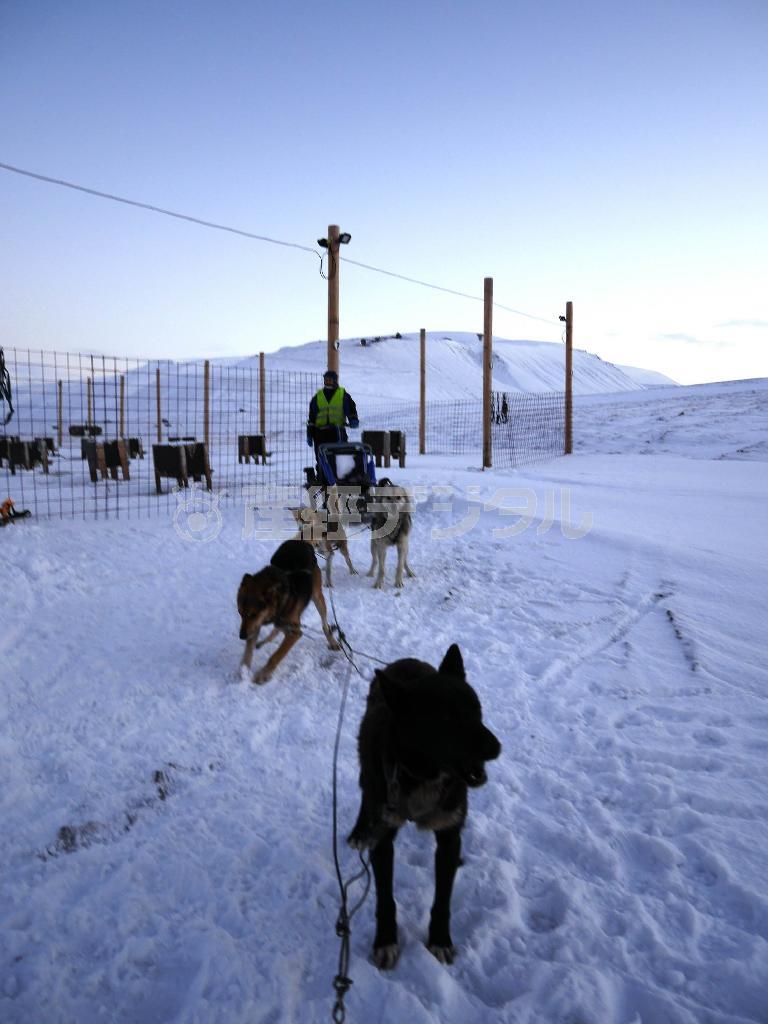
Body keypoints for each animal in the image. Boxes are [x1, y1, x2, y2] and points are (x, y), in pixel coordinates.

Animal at [237, 540, 339, 684]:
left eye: (253, 614)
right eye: (240, 613)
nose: (242, 636)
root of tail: (303, 542)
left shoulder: (294, 633)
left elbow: (276, 656)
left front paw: (263, 674)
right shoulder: (255, 625)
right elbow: (248, 651)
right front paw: (243, 670)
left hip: (317, 597)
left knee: (325, 624)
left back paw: (332, 641)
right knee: (277, 628)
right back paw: (264, 641)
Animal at [348, 643, 501, 970]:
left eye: (476, 709)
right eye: (446, 719)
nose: (496, 748)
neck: (422, 775)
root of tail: (406, 661)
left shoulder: (448, 837)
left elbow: (442, 899)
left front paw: (440, 940)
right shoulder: (384, 838)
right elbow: (385, 899)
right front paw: (385, 941)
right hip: (369, 775)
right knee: (365, 796)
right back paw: (358, 831)